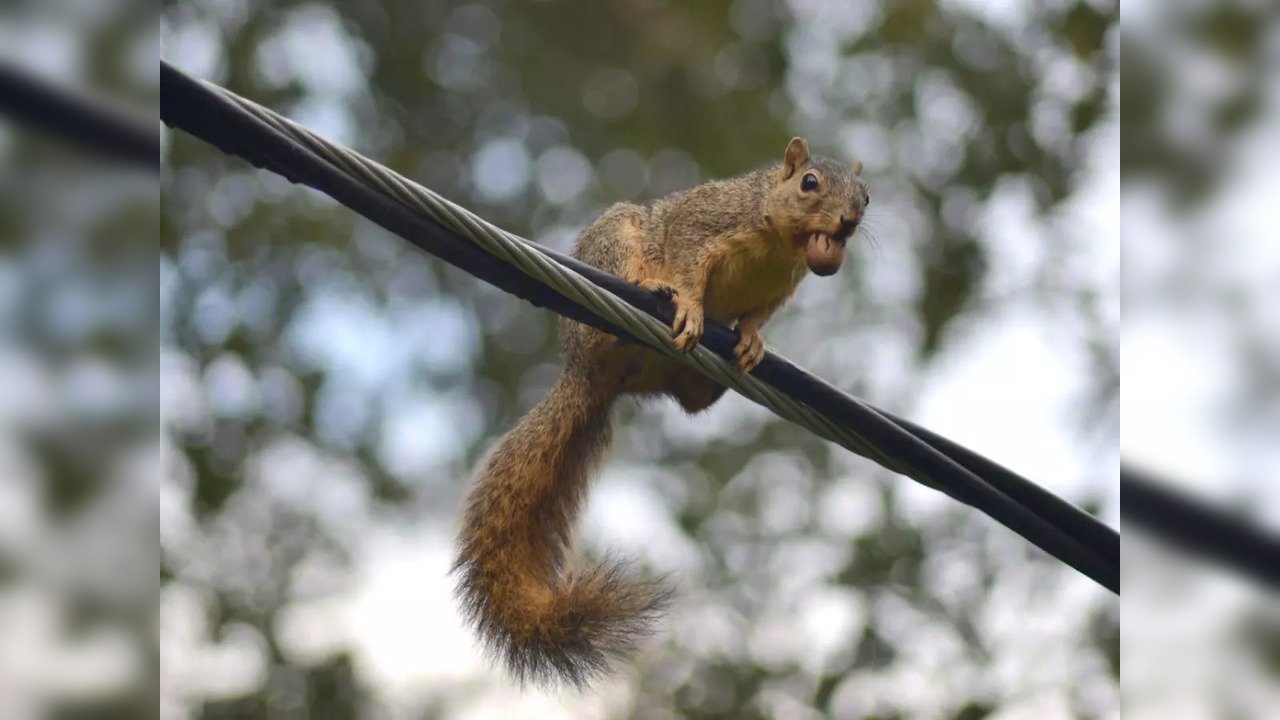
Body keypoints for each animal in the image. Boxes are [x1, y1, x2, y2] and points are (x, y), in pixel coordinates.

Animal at [453, 135, 870, 691]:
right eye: (809, 183)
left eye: (866, 196)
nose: (847, 222)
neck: (781, 242)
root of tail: (587, 374)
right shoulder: (704, 224)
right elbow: (691, 270)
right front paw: (689, 305)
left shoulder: (781, 287)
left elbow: (757, 316)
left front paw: (753, 340)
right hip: (616, 245)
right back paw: (650, 291)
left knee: (690, 400)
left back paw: (708, 383)